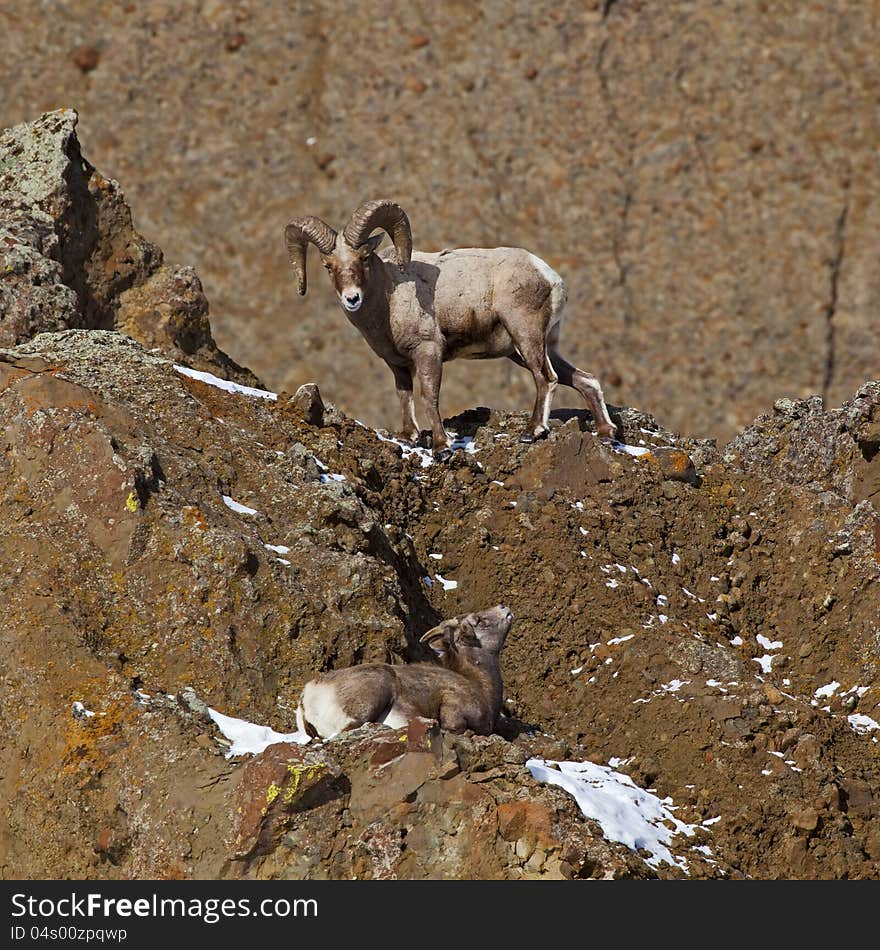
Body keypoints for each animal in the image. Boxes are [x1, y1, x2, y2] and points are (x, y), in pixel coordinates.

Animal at [286, 199, 616, 460]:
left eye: (364, 258)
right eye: (328, 266)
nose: (352, 298)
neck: (389, 298)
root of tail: (549, 276)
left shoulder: (428, 352)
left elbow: (429, 397)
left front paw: (442, 448)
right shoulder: (397, 363)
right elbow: (404, 396)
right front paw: (408, 438)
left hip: (526, 336)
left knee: (547, 378)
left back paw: (532, 432)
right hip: (531, 348)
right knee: (585, 380)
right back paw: (606, 433)